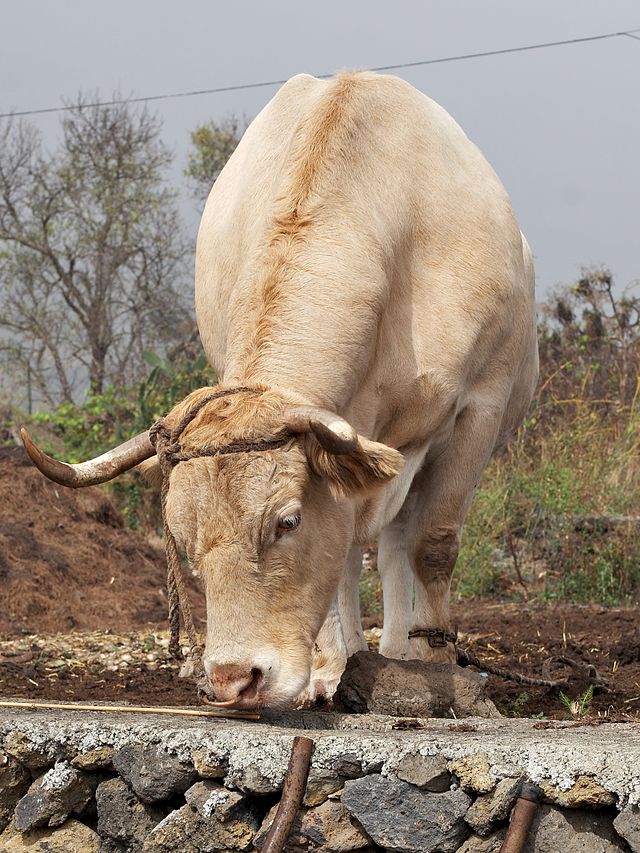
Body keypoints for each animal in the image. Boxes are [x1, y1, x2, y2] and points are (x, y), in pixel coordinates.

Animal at [22, 73, 536, 708]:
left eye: (287, 521)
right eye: (185, 540)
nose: (232, 680)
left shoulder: (478, 410)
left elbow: (433, 544)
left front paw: (434, 665)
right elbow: (341, 555)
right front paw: (329, 671)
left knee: (397, 546)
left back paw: (399, 650)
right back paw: (349, 660)